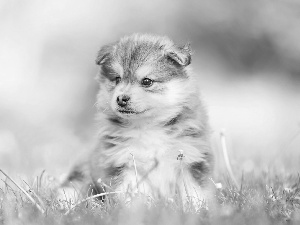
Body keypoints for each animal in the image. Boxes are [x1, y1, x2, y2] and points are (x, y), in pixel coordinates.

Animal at [62, 33, 213, 207]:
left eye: (147, 81)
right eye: (117, 79)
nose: (121, 99)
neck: (148, 126)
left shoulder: (191, 159)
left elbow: (195, 193)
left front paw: (197, 210)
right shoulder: (124, 163)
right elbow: (130, 194)